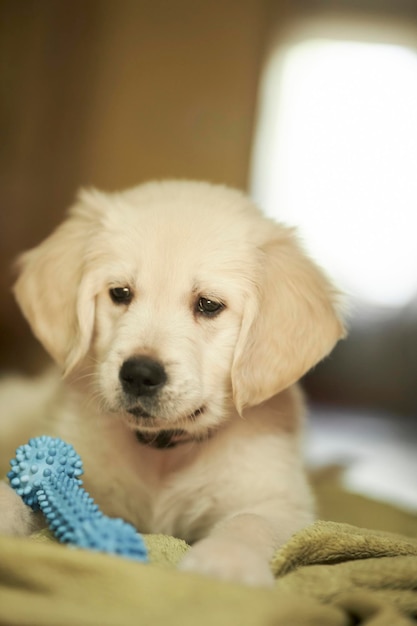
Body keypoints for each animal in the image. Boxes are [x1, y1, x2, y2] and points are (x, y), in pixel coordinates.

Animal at [0, 180, 344, 584]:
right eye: (120, 293)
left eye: (208, 305)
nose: (139, 375)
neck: (162, 451)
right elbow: (14, 491)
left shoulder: (279, 500)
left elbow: (252, 520)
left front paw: (226, 561)